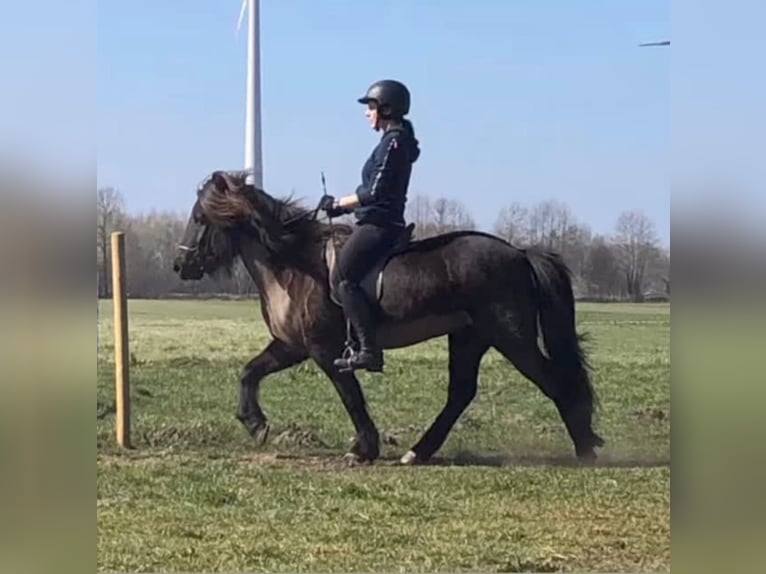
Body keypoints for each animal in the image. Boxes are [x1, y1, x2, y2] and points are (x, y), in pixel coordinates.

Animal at [172, 170, 604, 464]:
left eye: (200, 219)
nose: (180, 265)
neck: (294, 266)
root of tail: (519, 253)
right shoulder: (293, 346)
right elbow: (250, 371)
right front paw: (255, 423)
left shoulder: (325, 350)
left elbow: (351, 397)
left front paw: (364, 448)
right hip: (469, 336)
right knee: (461, 393)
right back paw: (418, 452)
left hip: (511, 336)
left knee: (554, 381)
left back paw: (586, 448)